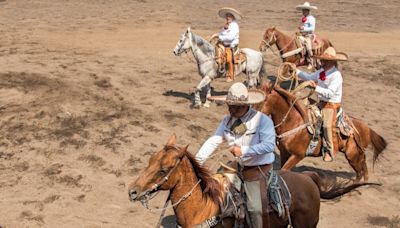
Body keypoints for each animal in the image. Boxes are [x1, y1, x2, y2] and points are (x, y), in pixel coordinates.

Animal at [256, 83, 388, 183]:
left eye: (262, 100)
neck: (294, 122)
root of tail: (367, 128)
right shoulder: (284, 152)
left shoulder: (298, 155)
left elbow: (283, 170)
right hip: (356, 154)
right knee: (363, 163)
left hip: (352, 155)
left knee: (360, 169)